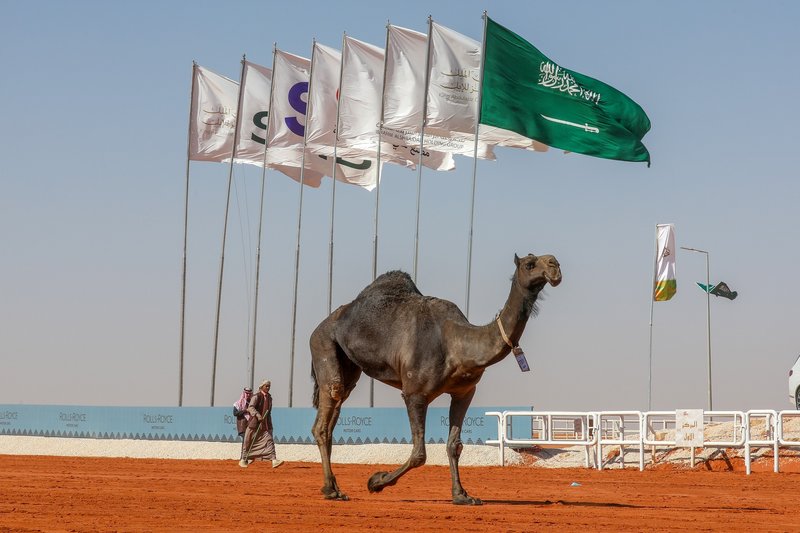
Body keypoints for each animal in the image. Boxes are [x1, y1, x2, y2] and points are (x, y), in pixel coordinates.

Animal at [310, 252, 560, 502]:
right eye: (529, 264)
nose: (554, 265)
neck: (458, 345)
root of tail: (322, 323)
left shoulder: (464, 392)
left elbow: (454, 445)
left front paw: (462, 495)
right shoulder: (414, 393)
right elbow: (419, 453)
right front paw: (376, 481)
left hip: (349, 365)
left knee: (336, 408)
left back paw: (333, 487)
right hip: (322, 343)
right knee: (328, 406)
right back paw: (332, 490)